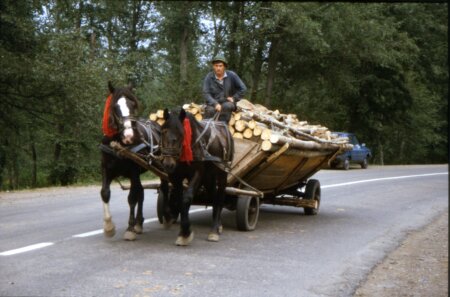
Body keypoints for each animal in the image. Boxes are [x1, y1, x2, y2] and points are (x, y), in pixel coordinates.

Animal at [99, 81, 169, 240]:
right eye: (115, 107)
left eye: (133, 104)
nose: (129, 136)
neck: (118, 144)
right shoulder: (106, 169)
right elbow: (105, 193)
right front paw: (108, 227)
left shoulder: (133, 172)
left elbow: (132, 198)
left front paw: (130, 228)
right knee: (141, 192)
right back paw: (139, 223)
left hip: (162, 168)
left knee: (164, 187)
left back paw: (167, 217)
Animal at [159, 107, 236, 244]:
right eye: (163, 132)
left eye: (181, 134)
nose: (168, 164)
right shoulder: (175, 176)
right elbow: (180, 200)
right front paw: (183, 231)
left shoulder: (198, 173)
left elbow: (187, 198)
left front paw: (185, 233)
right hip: (209, 176)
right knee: (213, 196)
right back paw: (217, 224)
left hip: (222, 172)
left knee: (220, 197)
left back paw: (214, 229)